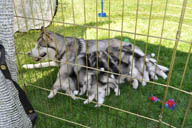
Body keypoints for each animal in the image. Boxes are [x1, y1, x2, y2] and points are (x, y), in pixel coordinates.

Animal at [24, 27, 168, 99]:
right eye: (35, 45)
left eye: (39, 46)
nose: (28, 53)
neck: (62, 49)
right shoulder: (56, 63)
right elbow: (41, 64)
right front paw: (26, 66)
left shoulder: (64, 68)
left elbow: (56, 80)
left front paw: (52, 92)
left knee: (152, 66)